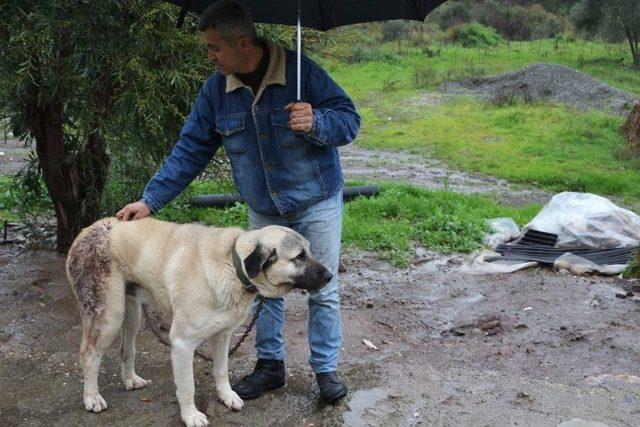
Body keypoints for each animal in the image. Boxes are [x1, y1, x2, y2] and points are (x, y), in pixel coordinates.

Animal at [67, 219, 332, 426]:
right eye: (299, 257)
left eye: (310, 251)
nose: (330, 276)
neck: (232, 265)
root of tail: (87, 229)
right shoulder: (182, 344)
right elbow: (187, 387)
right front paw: (191, 416)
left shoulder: (223, 335)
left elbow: (221, 370)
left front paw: (227, 396)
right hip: (110, 316)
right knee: (88, 355)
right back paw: (92, 397)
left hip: (132, 314)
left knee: (126, 349)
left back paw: (130, 379)